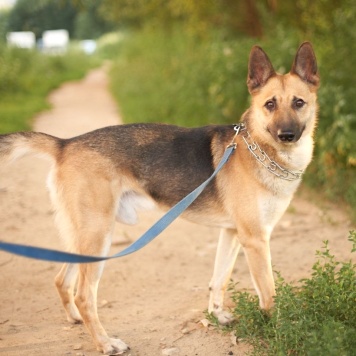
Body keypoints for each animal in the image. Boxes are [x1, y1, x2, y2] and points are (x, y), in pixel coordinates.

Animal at [0, 43, 318, 354]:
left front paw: (217, 314)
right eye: (270, 104)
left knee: (61, 280)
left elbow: (219, 279)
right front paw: (280, 332)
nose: (287, 135)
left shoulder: (232, 234)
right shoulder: (255, 239)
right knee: (83, 295)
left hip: (82, 236)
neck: (261, 149)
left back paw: (78, 321)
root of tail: (65, 144)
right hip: (98, 234)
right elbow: (269, 295)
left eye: (298, 103)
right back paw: (105, 342)